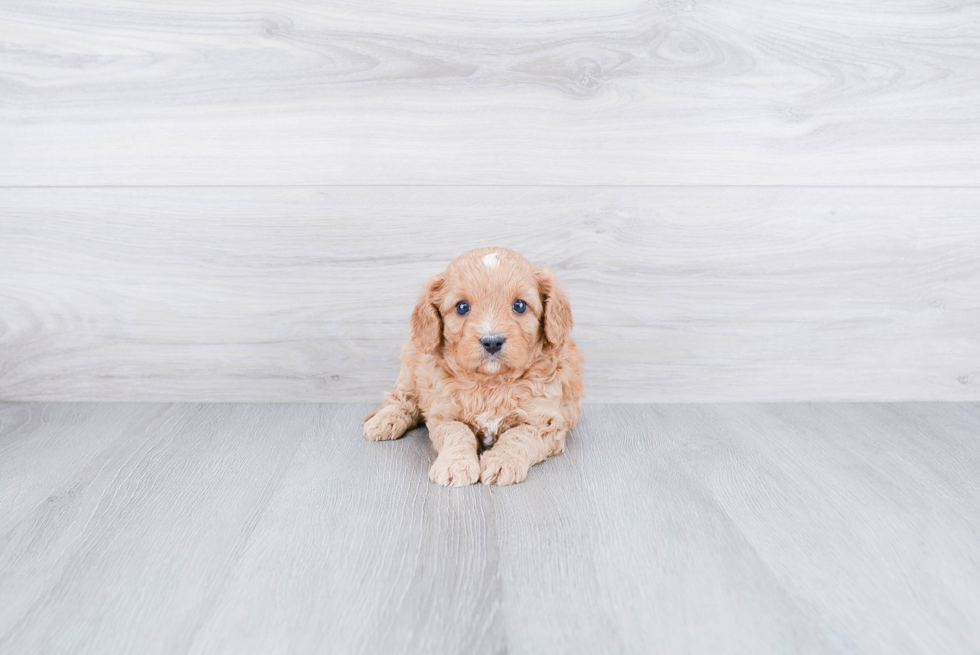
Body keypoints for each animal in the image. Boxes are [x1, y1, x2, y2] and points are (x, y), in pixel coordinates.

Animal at [366, 249, 580, 484]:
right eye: (462, 307)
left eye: (520, 305)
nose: (492, 341)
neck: (491, 383)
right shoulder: (444, 414)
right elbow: (458, 432)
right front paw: (455, 465)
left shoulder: (547, 422)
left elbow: (518, 435)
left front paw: (502, 462)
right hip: (412, 365)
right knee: (401, 399)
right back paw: (384, 421)